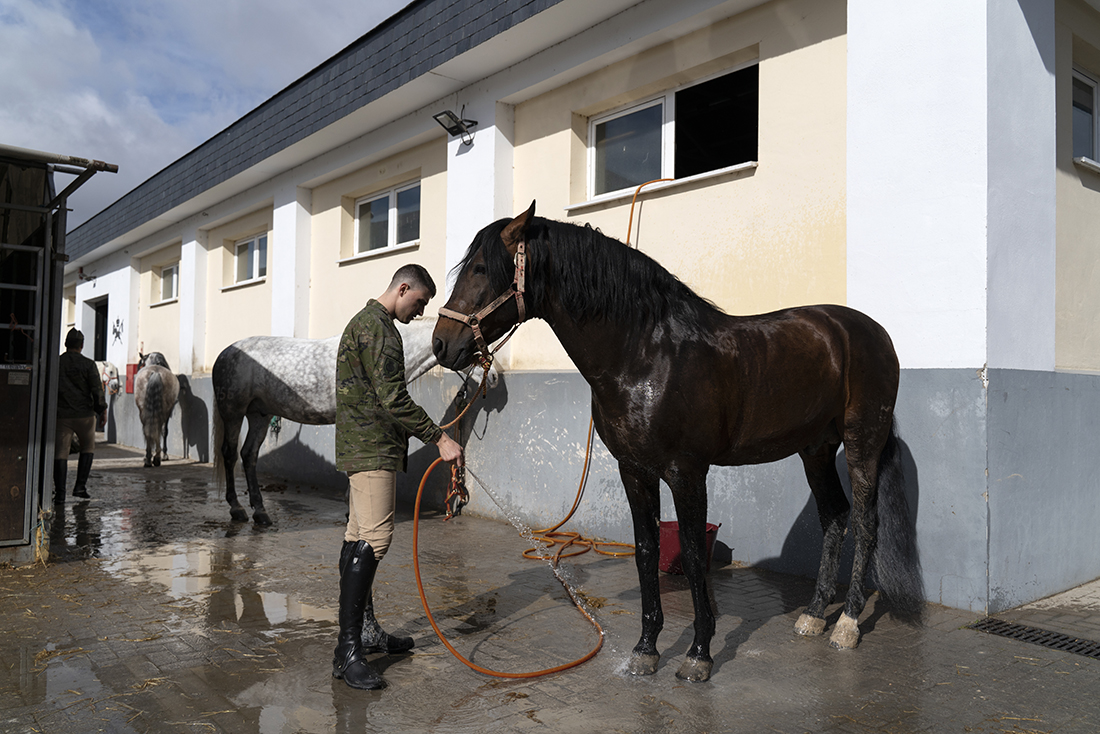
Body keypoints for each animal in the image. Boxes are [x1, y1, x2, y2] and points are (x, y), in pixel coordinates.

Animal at [211, 316, 496, 526]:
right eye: (473, 347)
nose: (493, 377)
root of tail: (224, 353)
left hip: (259, 415)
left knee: (249, 456)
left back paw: (260, 512)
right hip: (234, 412)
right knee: (230, 454)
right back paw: (237, 509)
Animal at [432, 202, 923, 683]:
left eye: (480, 268)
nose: (441, 344)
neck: (645, 355)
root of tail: (871, 331)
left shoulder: (686, 472)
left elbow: (690, 551)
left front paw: (699, 654)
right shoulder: (634, 471)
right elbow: (647, 550)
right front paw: (646, 650)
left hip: (861, 443)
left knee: (866, 524)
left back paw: (847, 624)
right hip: (815, 449)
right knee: (834, 518)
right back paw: (816, 615)